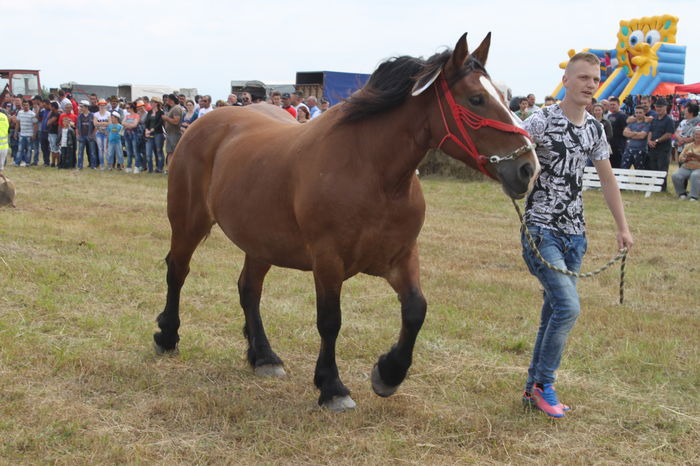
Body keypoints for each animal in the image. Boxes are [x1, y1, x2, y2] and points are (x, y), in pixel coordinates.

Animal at [154, 32, 540, 411]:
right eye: (476, 99)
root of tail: (206, 121)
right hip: (188, 223)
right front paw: (332, 387)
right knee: (178, 271)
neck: (372, 172)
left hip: (260, 242)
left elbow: (416, 310)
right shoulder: (328, 260)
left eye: (505, 96)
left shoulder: (401, 257)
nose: (527, 167)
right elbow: (330, 321)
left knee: (249, 289)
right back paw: (168, 336)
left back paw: (264, 357)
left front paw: (388, 373)